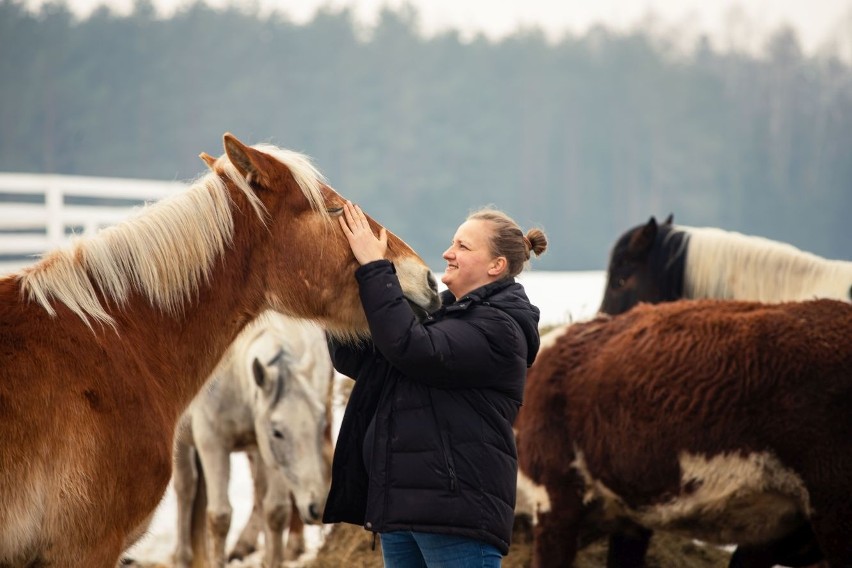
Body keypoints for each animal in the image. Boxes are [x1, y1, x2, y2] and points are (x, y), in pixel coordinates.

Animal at [172, 312, 332, 564]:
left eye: (320, 423)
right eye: (277, 432)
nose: (317, 508)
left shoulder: (268, 452)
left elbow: (276, 512)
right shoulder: (212, 443)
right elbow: (220, 517)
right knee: (185, 487)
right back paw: (184, 556)